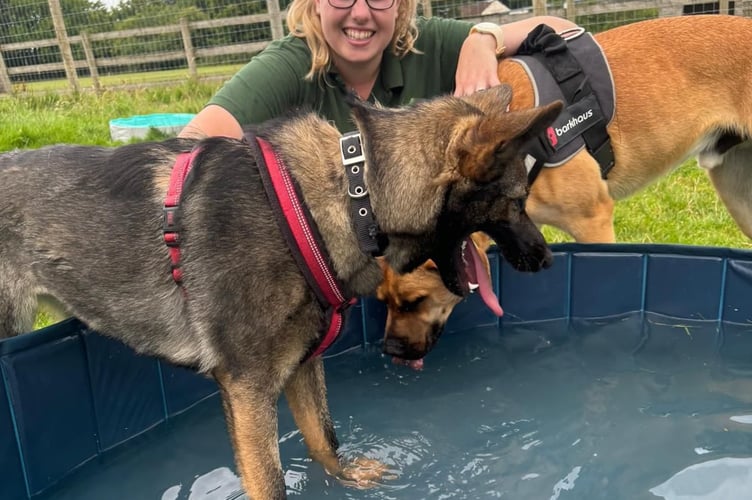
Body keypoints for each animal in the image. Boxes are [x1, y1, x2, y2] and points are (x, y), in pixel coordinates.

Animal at [0, 88, 560, 498]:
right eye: (518, 200)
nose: (547, 258)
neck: (348, 196)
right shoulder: (248, 391)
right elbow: (269, 483)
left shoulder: (303, 363)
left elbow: (324, 437)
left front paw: (347, 477)